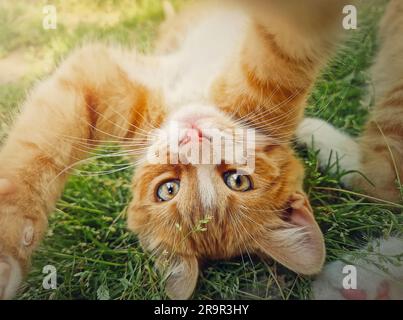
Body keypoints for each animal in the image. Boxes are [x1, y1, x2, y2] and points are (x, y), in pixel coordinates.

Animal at [0, 0, 352, 300]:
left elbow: (288, 39)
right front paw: (10, 243)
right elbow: (40, 146)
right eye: (168, 189)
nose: (191, 141)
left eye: (237, 180)